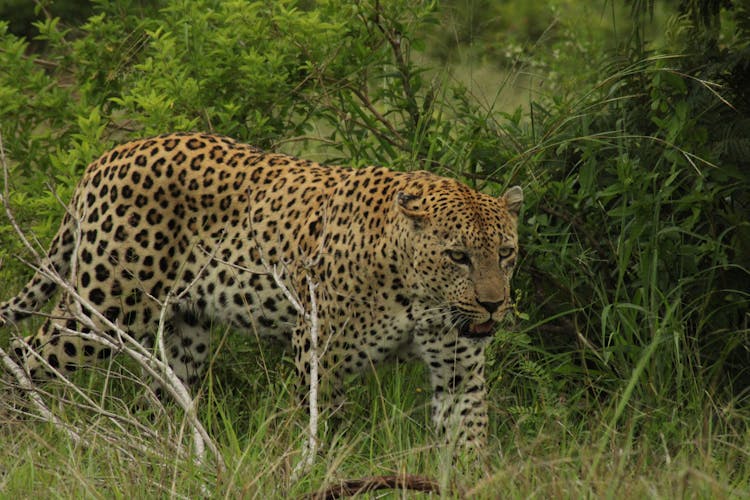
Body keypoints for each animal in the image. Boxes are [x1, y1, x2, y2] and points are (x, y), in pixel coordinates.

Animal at [0, 131, 524, 448]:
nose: (493, 305)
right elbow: (320, 427)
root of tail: (107, 156)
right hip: (103, 310)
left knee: (162, 396)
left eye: (506, 253)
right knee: (24, 353)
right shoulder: (318, 353)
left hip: (185, 332)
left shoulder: (459, 371)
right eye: (457, 256)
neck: (418, 295)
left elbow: (467, 438)